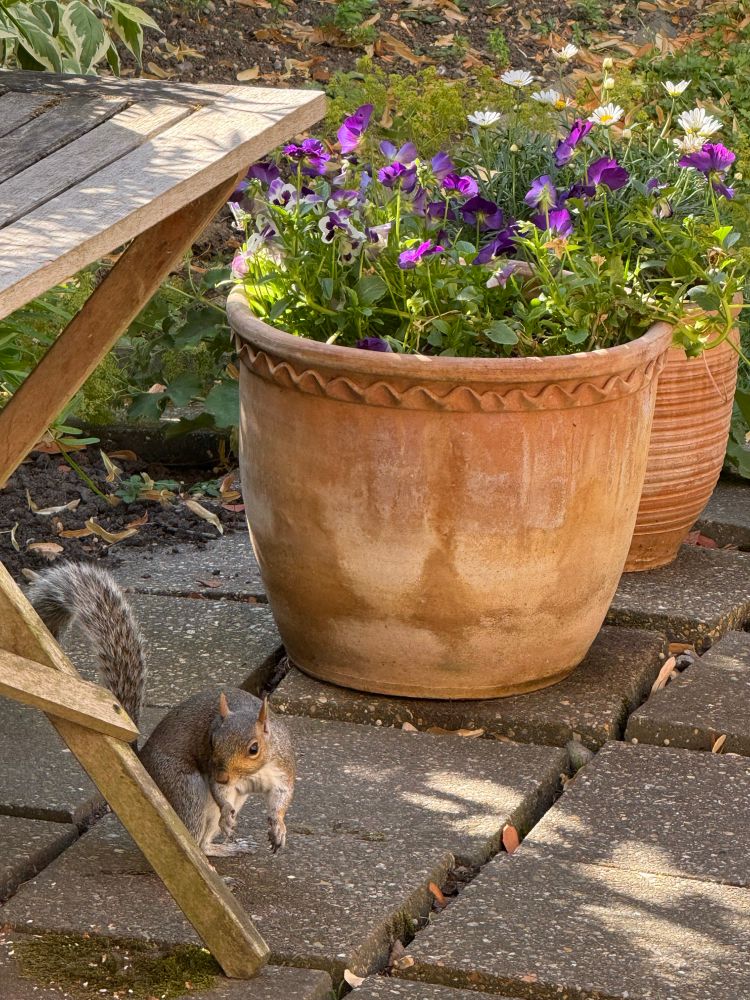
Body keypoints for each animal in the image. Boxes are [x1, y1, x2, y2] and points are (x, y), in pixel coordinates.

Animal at [29, 562, 295, 858]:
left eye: (254, 748)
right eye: (212, 742)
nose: (223, 776)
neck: (251, 774)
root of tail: (142, 766)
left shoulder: (281, 767)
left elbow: (282, 797)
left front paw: (278, 827)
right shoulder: (215, 772)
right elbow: (220, 795)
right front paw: (228, 815)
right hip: (187, 790)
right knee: (196, 841)